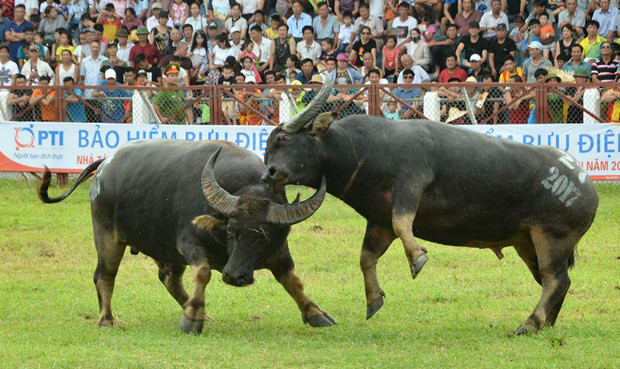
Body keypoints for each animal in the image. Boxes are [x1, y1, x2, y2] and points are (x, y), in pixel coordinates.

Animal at [38, 139, 334, 332]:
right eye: (231, 229)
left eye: (264, 235)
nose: (234, 276)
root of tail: (104, 165)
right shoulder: (189, 243)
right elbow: (202, 273)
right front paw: (191, 320)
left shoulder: (278, 253)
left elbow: (293, 281)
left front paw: (316, 314)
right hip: (107, 235)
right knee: (104, 276)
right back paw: (107, 320)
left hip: (164, 249)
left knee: (169, 279)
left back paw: (197, 309)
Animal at [262, 75, 600, 334]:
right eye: (268, 146)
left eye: (284, 141)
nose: (269, 174)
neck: (361, 151)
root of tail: (585, 184)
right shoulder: (379, 221)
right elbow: (366, 257)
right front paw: (373, 300)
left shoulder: (411, 186)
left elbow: (403, 224)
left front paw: (418, 258)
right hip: (528, 241)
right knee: (554, 281)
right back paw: (547, 323)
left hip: (552, 236)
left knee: (556, 280)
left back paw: (529, 324)